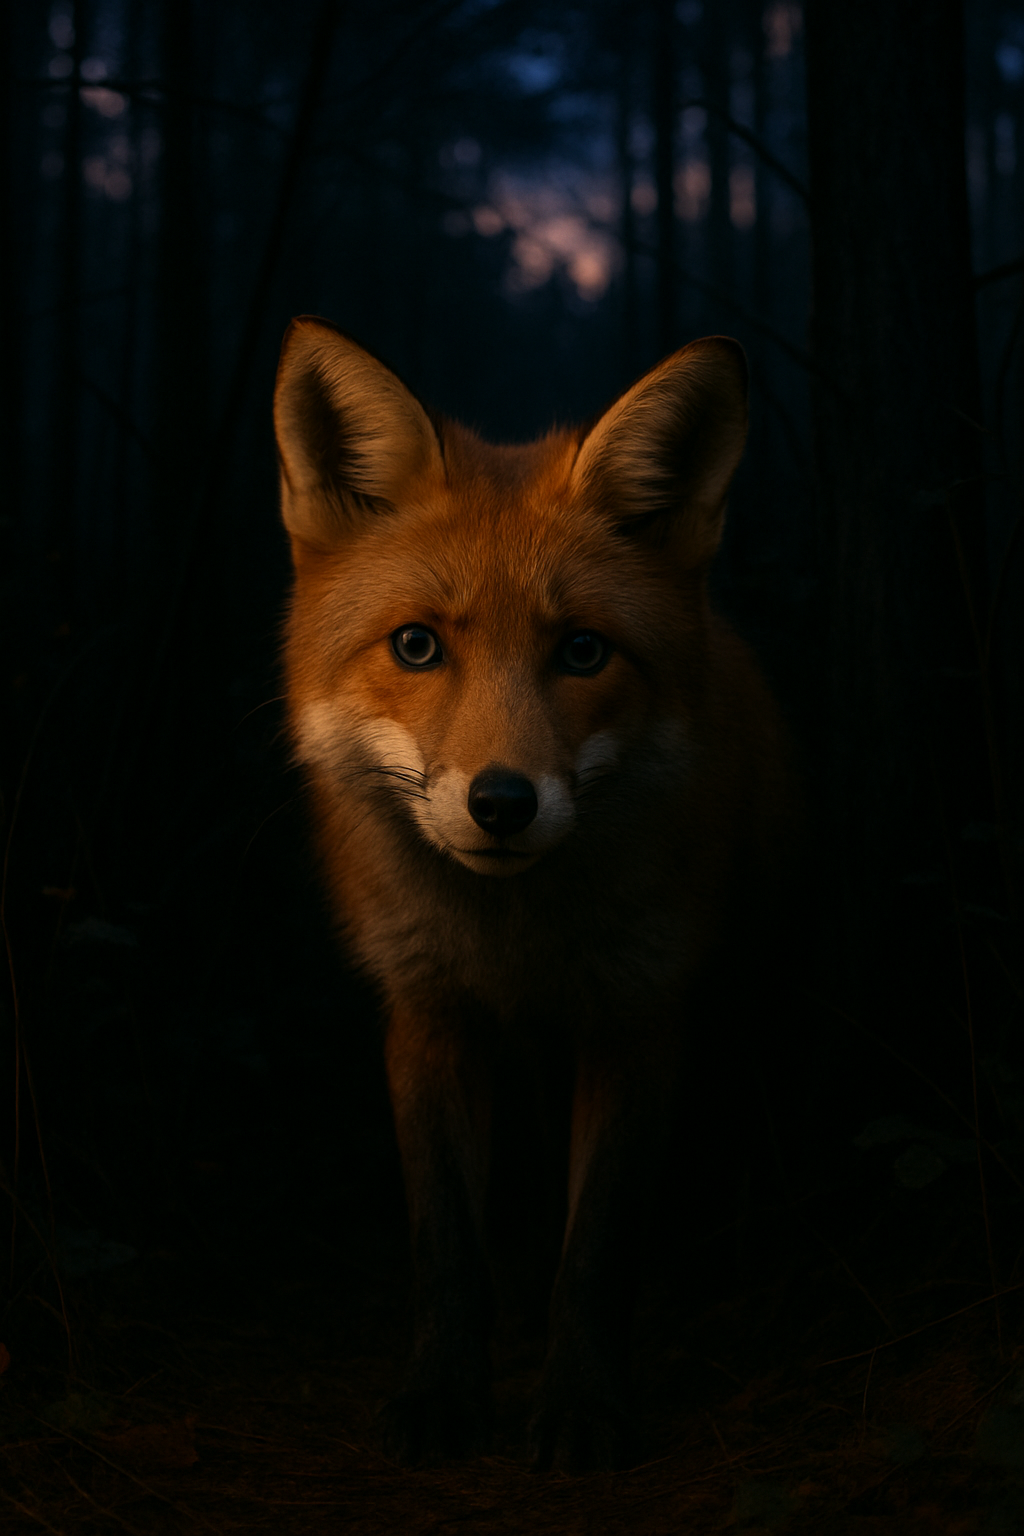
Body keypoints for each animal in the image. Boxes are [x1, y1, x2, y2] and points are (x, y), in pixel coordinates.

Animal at [273, 316, 791, 1472]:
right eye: (417, 645)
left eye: (583, 651)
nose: (502, 803)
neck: (514, 941)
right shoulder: (426, 1014)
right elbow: (446, 1242)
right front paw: (441, 1394)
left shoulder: (641, 1013)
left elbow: (596, 1242)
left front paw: (583, 1404)